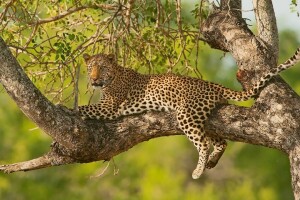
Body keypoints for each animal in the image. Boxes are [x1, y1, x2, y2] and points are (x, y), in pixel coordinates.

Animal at [79, 48, 300, 180]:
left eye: (102, 68)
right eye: (90, 68)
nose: (94, 79)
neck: (113, 76)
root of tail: (213, 85)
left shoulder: (109, 107)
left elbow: (81, 108)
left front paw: (72, 111)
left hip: (187, 115)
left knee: (203, 144)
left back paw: (198, 170)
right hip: (204, 118)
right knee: (221, 142)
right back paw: (212, 162)